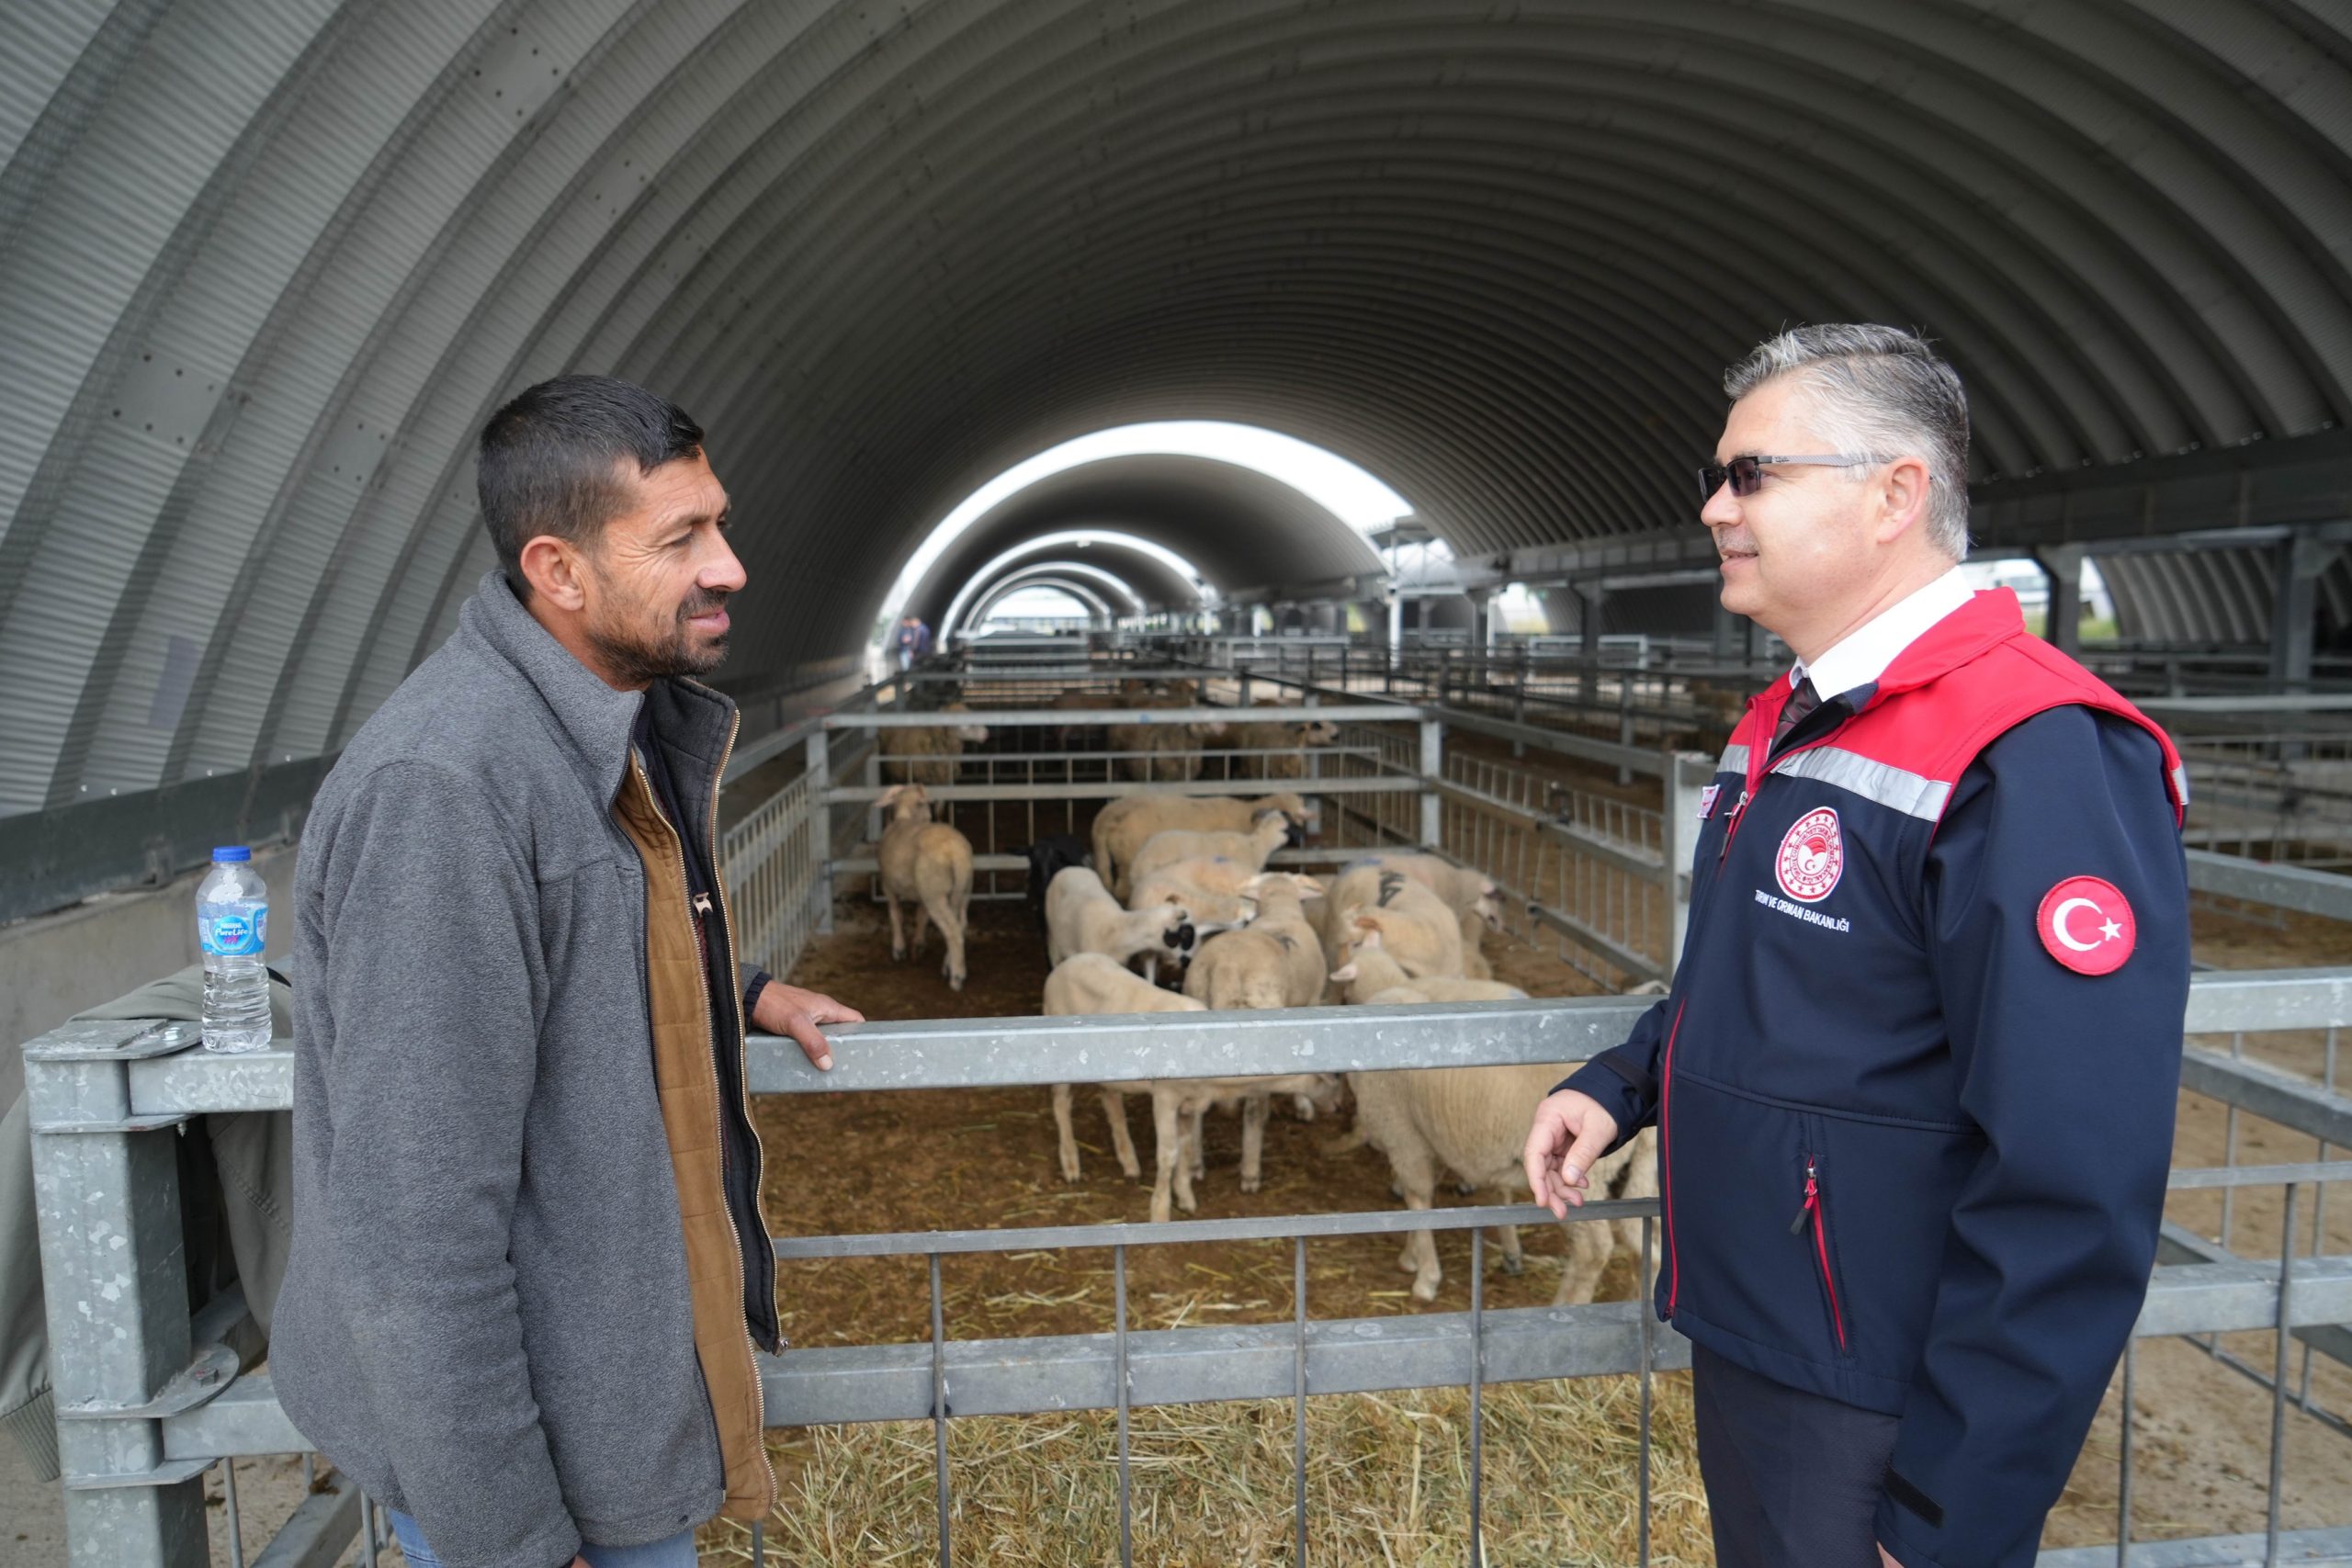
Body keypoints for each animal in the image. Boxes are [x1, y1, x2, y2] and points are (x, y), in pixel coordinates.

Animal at [870, 784, 968, 991]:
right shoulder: (922, 892)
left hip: (936, 894)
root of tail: (955, 853)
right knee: (961, 924)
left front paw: (899, 948)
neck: (905, 817)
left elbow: (895, 914)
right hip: (962, 891)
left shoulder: (887, 886)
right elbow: (921, 916)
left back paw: (957, 976)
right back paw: (948, 964)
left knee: (953, 930)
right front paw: (919, 943)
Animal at [1039, 949, 1204, 1184]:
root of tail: (1065, 965)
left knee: (1111, 1102)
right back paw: (1070, 1162)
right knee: (1061, 1103)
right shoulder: (1166, 1095)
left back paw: (1129, 1160)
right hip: (1058, 1058)